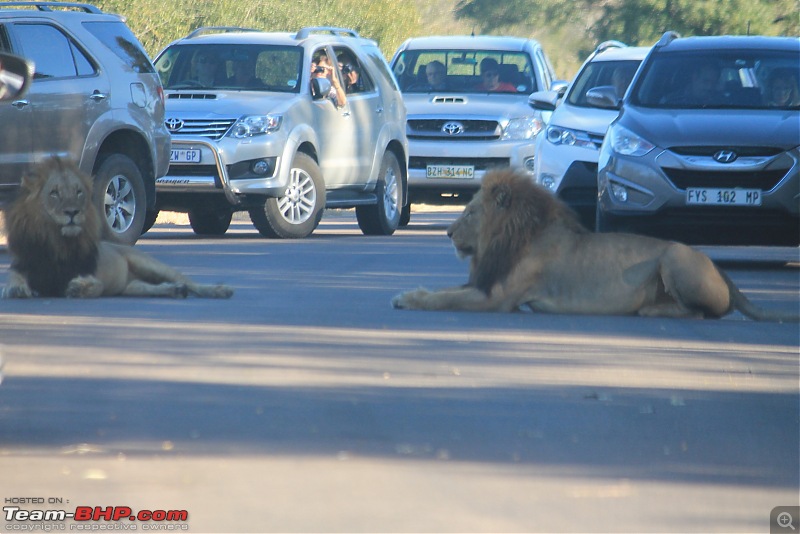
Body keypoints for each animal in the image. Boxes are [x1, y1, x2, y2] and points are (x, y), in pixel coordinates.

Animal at [3, 158, 233, 302]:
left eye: (78, 192)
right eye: (54, 193)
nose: (72, 212)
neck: (57, 241)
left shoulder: (95, 277)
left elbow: (94, 286)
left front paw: (78, 288)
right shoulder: (22, 267)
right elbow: (13, 282)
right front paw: (17, 289)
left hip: (150, 264)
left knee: (189, 282)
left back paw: (220, 290)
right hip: (133, 287)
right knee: (154, 287)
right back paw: (175, 291)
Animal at [394, 170, 800, 324]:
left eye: (470, 212)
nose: (447, 233)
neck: (507, 236)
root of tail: (721, 269)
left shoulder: (499, 298)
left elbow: (446, 299)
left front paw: (410, 300)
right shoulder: (486, 281)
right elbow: (443, 290)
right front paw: (405, 294)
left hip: (674, 254)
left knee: (704, 313)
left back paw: (651, 310)